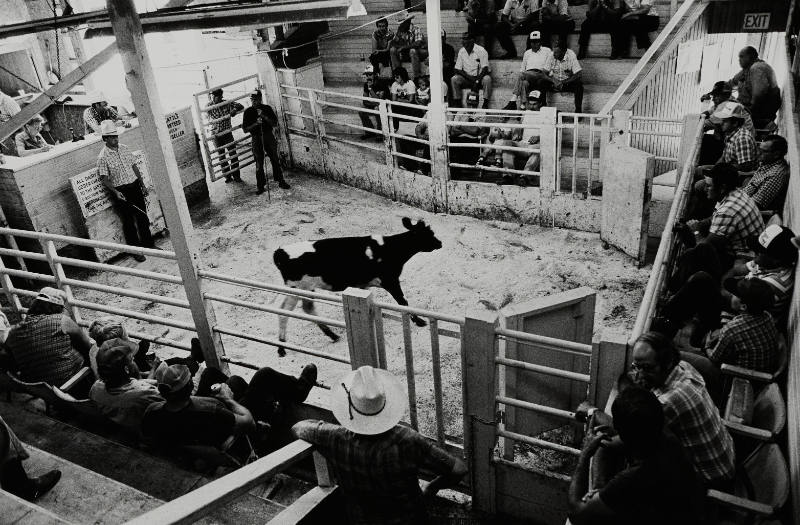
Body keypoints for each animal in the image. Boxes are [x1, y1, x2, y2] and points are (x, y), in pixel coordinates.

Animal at [272, 217, 440, 356]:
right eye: (428, 234)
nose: (440, 243)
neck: (389, 248)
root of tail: (280, 252)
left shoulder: (363, 284)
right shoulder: (390, 280)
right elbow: (403, 302)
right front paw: (419, 321)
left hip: (306, 288)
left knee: (307, 309)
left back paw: (332, 335)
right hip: (296, 289)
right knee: (283, 313)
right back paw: (281, 347)